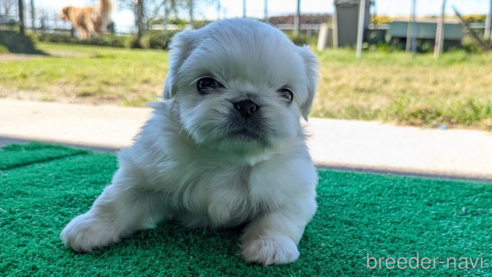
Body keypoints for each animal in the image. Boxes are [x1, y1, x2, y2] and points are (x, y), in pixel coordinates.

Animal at [60, 18, 320, 264]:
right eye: (205, 83)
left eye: (286, 94)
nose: (247, 104)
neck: (226, 161)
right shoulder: (144, 171)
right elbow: (115, 200)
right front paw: (88, 227)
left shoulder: (293, 188)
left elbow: (279, 218)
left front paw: (271, 247)